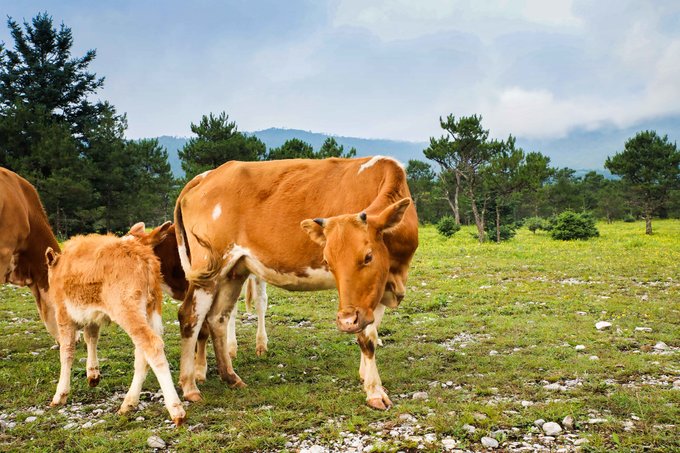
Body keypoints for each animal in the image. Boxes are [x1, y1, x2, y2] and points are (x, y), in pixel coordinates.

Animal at [44, 233, 186, 424]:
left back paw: (176, 410)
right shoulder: (91, 316)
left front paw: (60, 395)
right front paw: (93, 375)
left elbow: (66, 352)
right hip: (149, 311)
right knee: (142, 354)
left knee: (152, 346)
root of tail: (144, 256)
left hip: (127, 310)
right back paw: (128, 403)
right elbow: (91, 337)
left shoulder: (63, 315)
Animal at [126, 222, 266, 382]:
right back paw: (231, 348)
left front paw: (199, 369)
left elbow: (202, 331)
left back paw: (261, 345)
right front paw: (191, 360)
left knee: (261, 302)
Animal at [173, 156, 418, 410]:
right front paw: (374, 391)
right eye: (328, 261)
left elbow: (371, 331)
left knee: (217, 318)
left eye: (368, 256)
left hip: (233, 270)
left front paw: (364, 375)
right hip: (208, 270)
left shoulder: (376, 290)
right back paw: (190, 385)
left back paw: (231, 377)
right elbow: (366, 338)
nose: (346, 321)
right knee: (190, 316)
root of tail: (206, 176)